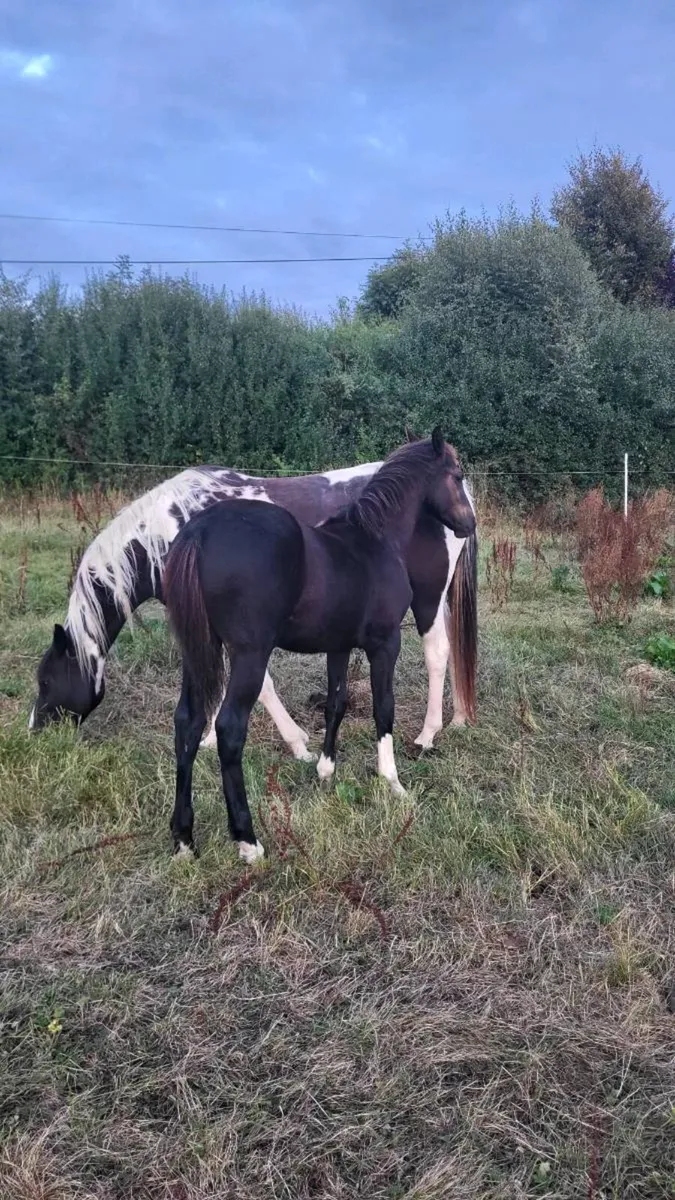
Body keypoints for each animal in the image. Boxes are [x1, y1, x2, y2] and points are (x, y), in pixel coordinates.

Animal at [30, 438, 477, 752]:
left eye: (47, 680)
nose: (34, 730)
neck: (170, 532)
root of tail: (465, 497)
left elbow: (256, 685)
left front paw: (295, 741)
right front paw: (211, 738)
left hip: (427, 599)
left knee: (437, 651)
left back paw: (427, 734)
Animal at [162, 430, 476, 861]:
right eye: (456, 474)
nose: (468, 524)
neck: (374, 540)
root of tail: (199, 533)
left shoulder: (338, 646)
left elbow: (336, 703)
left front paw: (326, 771)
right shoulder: (385, 643)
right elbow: (383, 708)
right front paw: (392, 782)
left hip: (198, 653)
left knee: (187, 724)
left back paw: (183, 839)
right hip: (249, 656)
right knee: (228, 729)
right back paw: (248, 840)